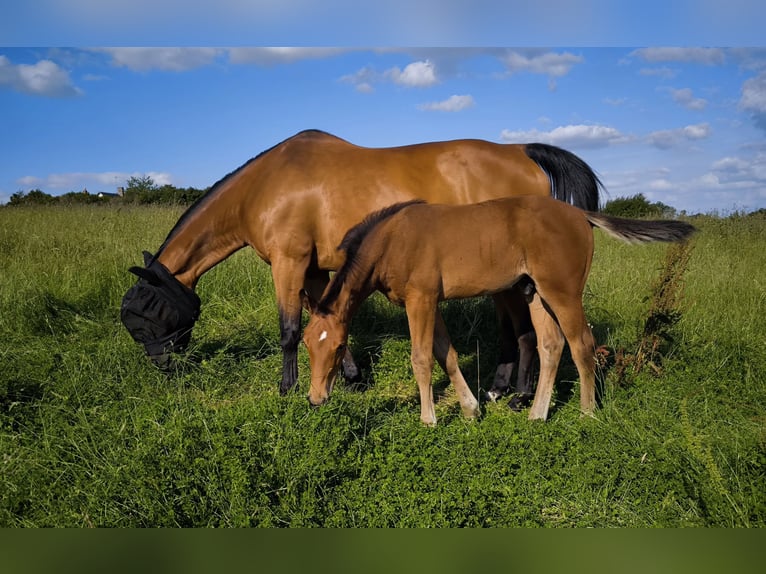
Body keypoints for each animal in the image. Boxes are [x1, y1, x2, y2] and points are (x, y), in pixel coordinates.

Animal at [120, 131, 604, 398]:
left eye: (146, 313)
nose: (161, 365)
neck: (265, 187)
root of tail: (521, 151)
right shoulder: (317, 270)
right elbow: (328, 323)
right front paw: (350, 377)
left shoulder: (289, 263)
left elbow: (289, 329)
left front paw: (287, 389)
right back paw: (504, 389)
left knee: (523, 329)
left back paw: (519, 394)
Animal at [304, 198, 700, 428]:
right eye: (308, 346)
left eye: (339, 347)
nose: (315, 399)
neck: (392, 240)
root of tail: (581, 215)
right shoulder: (431, 303)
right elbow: (447, 354)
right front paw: (470, 409)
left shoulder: (421, 300)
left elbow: (422, 358)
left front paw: (429, 419)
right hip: (535, 293)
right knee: (551, 345)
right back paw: (537, 414)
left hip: (563, 292)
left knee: (581, 344)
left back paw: (587, 413)